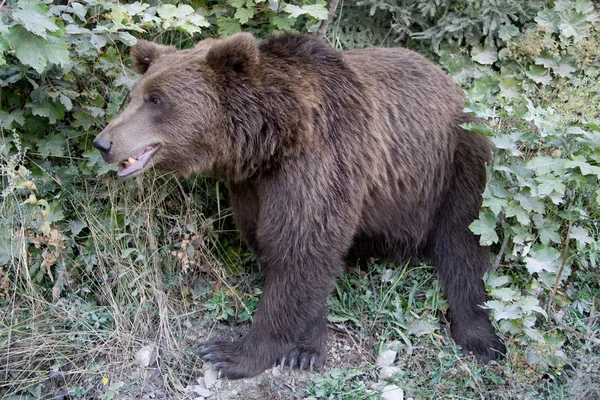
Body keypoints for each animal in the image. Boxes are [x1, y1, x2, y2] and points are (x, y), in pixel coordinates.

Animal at [94, 32, 506, 378]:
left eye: (156, 99)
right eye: (135, 96)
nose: (103, 143)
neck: (270, 140)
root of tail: (450, 82)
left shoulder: (322, 162)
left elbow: (301, 250)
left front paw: (232, 353)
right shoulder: (253, 188)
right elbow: (282, 249)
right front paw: (305, 346)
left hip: (455, 164)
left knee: (463, 243)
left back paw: (481, 338)